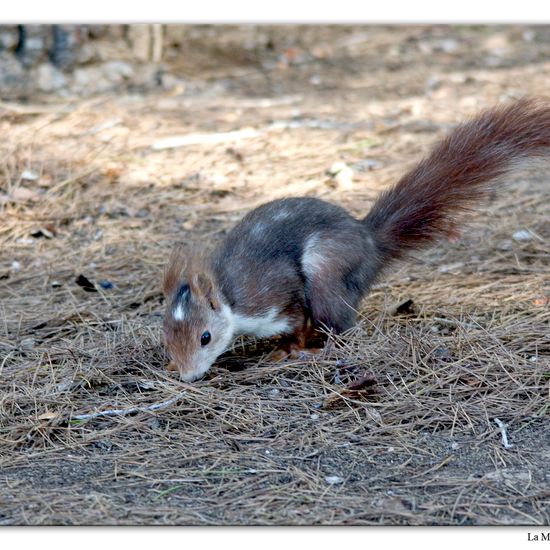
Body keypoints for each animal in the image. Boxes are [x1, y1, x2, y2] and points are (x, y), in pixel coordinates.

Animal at [162, 99, 550, 382]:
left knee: (339, 324)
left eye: (205, 337)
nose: (188, 376)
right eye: (165, 334)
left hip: (327, 268)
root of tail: (368, 241)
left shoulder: (271, 296)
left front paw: (288, 349)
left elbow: (295, 321)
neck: (229, 296)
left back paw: (318, 348)